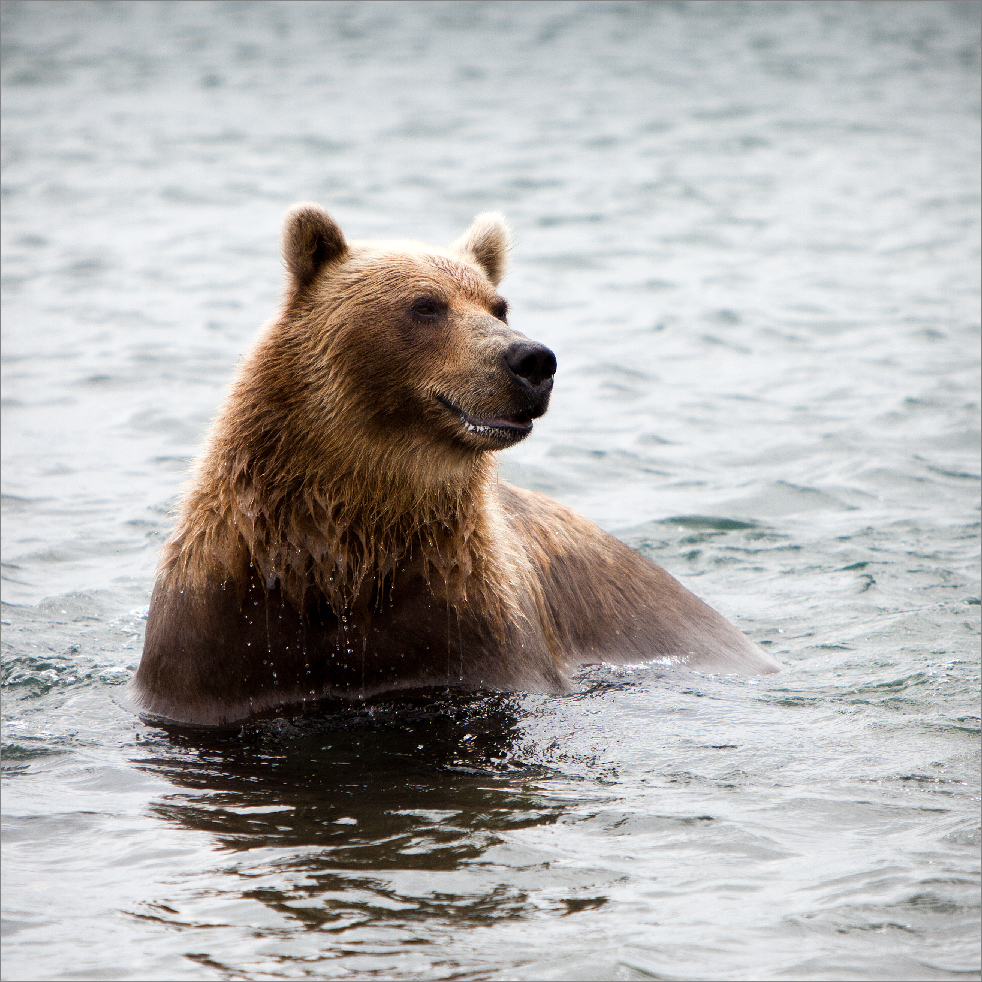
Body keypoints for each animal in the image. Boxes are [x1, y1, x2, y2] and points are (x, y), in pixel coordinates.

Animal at [131, 206, 780, 732]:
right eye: (425, 304)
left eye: (498, 304)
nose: (532, 359)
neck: (349, 551)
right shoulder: (223, 631)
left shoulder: (467, 622)